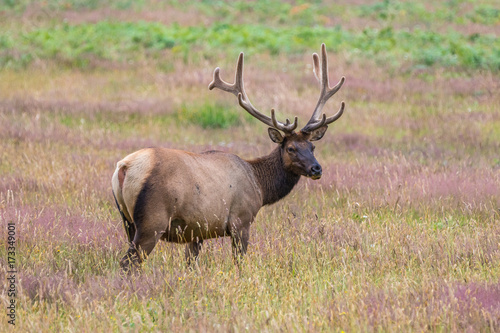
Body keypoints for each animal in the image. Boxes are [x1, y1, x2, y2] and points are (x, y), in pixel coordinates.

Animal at [111, 42, 346, 272]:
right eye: (291, 148)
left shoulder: (197, 231)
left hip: (127, 221)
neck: (260, 185)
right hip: (153, 219)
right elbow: (239, 263)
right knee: (127, 263)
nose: (316, 169)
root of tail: (125, 167)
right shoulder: (241, 220)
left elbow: (190, 264)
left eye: (312, 146)